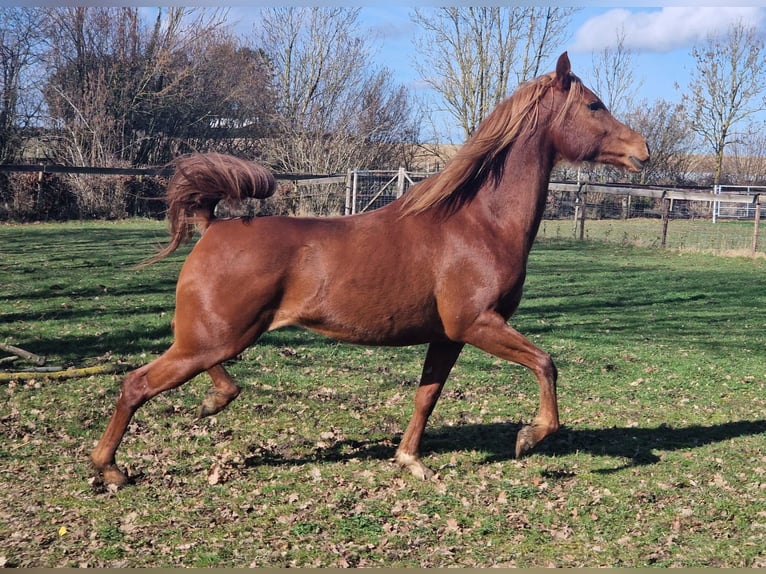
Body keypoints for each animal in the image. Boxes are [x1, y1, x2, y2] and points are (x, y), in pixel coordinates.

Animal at [92, 52, 649, 487]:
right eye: (594, 105)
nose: (642, 151)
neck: (477, 223)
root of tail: (213, 227)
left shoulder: (448, 335)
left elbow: (427, 397)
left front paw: (409, 460)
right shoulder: (478, 323)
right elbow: (546, 363)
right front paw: (529, 437)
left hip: (219, 337)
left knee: (201, 375)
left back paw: (211, 402)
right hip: (213, 337)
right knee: (136, 384)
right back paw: (110, 468)